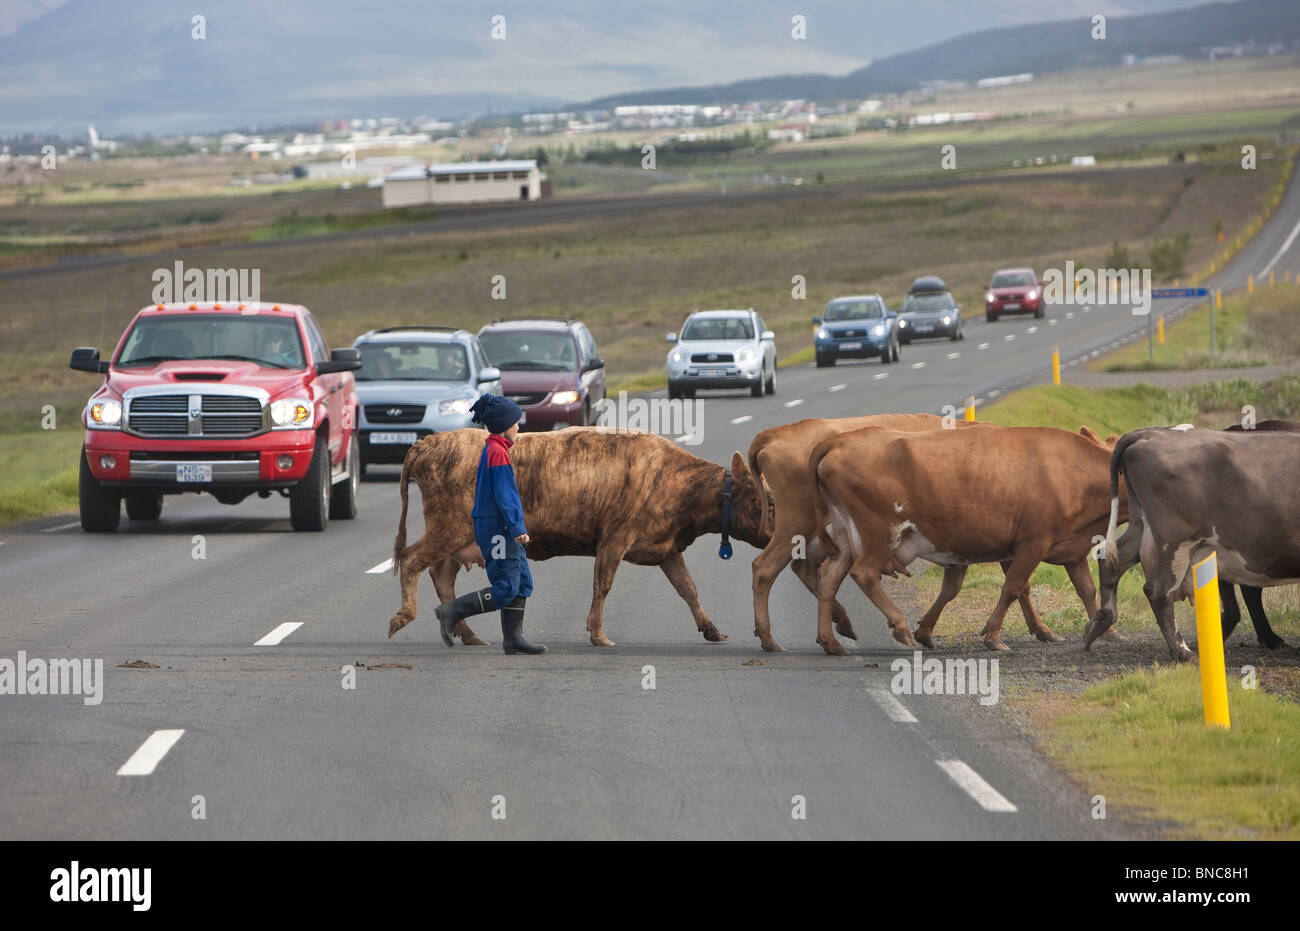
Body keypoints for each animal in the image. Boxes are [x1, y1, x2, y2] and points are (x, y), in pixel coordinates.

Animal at [390, 426, 764, 644]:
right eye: (762, 501)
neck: (675, 480)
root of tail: (428, 442)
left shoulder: (667, 550)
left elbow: (688, 588)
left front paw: (712, 629)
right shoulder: (613, 540)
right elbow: (603, 585)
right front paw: (597, 634)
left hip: (460, 540)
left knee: (441, 575)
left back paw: (465, 633)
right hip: (448, 528)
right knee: (412, 559)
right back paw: (404, 616)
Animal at [748, 413, 1060, 655]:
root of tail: (776, 433)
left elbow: (963, 587)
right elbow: (1019, 584)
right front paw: (1040, 630)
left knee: (811, 572)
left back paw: (837, 627)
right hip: (797, 525)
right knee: (766, 568)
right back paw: (770, 638)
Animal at [806, 423, 1123, 655]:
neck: (1068, 472)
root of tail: (839, 441)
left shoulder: (1069, 550)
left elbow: (1085, 590)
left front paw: (1105, 630)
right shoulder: (1032, 543)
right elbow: (1013, 587)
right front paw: (993, 636)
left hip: (845, 536)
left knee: (829, 576)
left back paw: (830, 641)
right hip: (879, 534)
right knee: (864, 574)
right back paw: (899, 626)